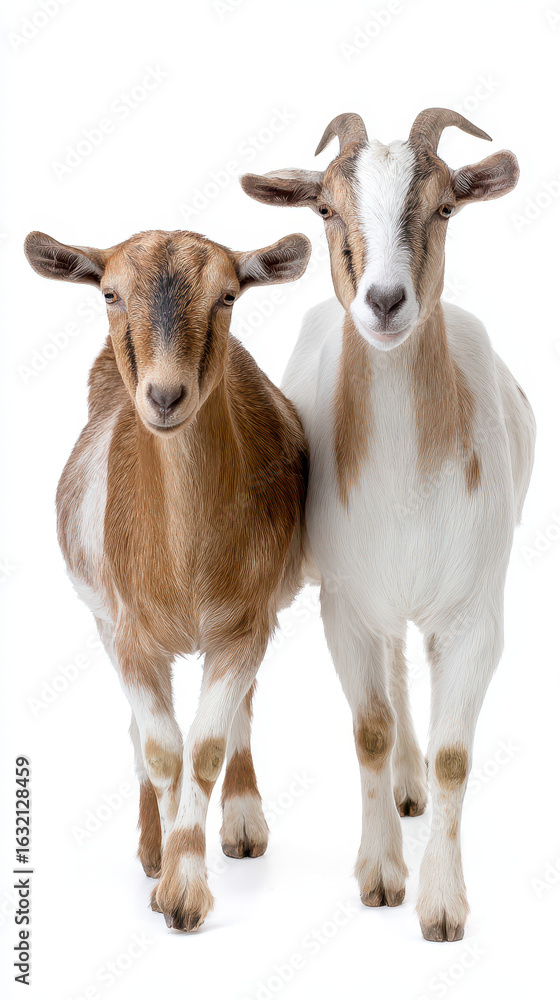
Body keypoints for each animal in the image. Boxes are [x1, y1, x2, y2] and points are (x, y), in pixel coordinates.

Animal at [24, 227, 311, 931]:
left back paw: (241, 825)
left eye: (229, 294)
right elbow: (159, 748)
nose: (163, 396)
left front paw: (184, 892)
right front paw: (165, 871)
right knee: (137, 735)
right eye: (109, 293)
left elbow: (206, 744)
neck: (186, 569)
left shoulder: (244, 625)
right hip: (103, 621)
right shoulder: (130, 636)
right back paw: (151, 848)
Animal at [242, 108, 535, 941]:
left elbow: (454, 756)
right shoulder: (343, 605)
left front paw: (442, 905)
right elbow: (369, 728)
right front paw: (378, 875)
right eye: (325, 209)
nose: (383, 301)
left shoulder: (475, 615)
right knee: (395, 669)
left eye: (446, 208)